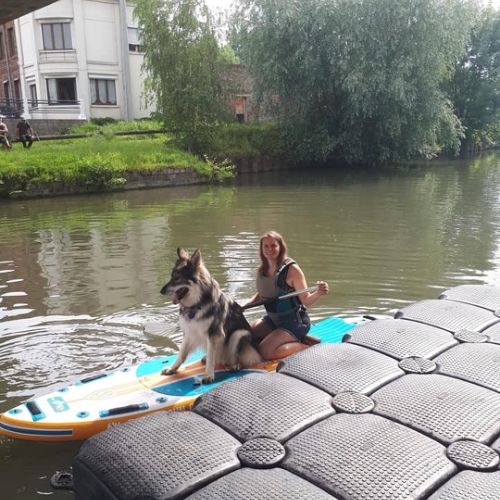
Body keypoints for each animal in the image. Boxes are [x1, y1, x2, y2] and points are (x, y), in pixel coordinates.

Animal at [160, 248, 263, 384]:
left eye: (177, 278)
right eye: (171, 277)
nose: (161, 291)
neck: (197, 304)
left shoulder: (213, 334)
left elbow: (210, 357)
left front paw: (209, 375)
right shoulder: (189, 332)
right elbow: (181, 354)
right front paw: (172, 369)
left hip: (238, 334)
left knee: (238, 357)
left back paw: (235, 365)